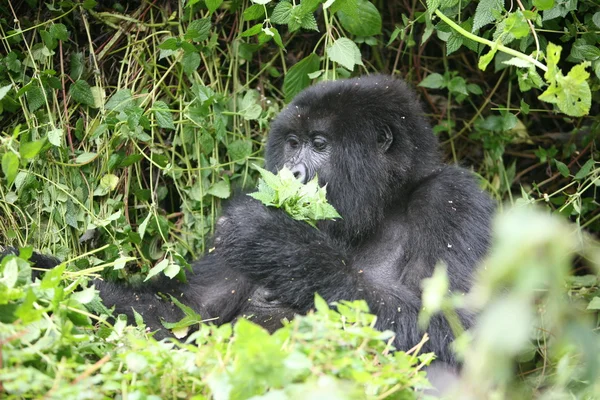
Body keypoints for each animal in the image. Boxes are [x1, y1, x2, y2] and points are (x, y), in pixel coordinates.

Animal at [2, 74, 494, 362]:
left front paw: (281, 245)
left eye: (319, 144)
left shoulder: (453, 199)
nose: (290, 173)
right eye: (292, 143)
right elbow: (181, 316)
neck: (382, 206)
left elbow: (460, 331)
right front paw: (27, 274)